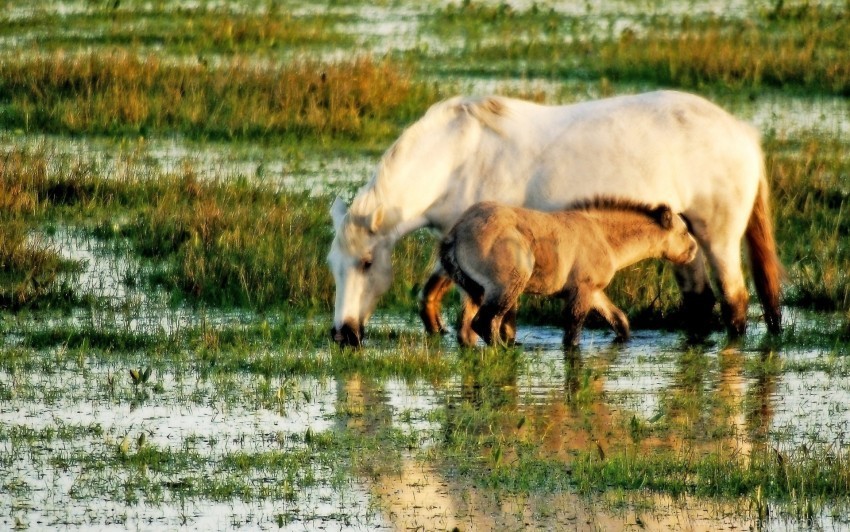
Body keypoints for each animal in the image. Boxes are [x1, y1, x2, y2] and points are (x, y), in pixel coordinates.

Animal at [328, 89, 780, 348]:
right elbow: (431, 297)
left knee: (735, 302)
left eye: (366, 263)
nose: (344, 333)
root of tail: (741, 132)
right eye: (334, 267)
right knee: (700, 301)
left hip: (717, 239)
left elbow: (494, 318)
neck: (458, 155)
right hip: (683, 243)